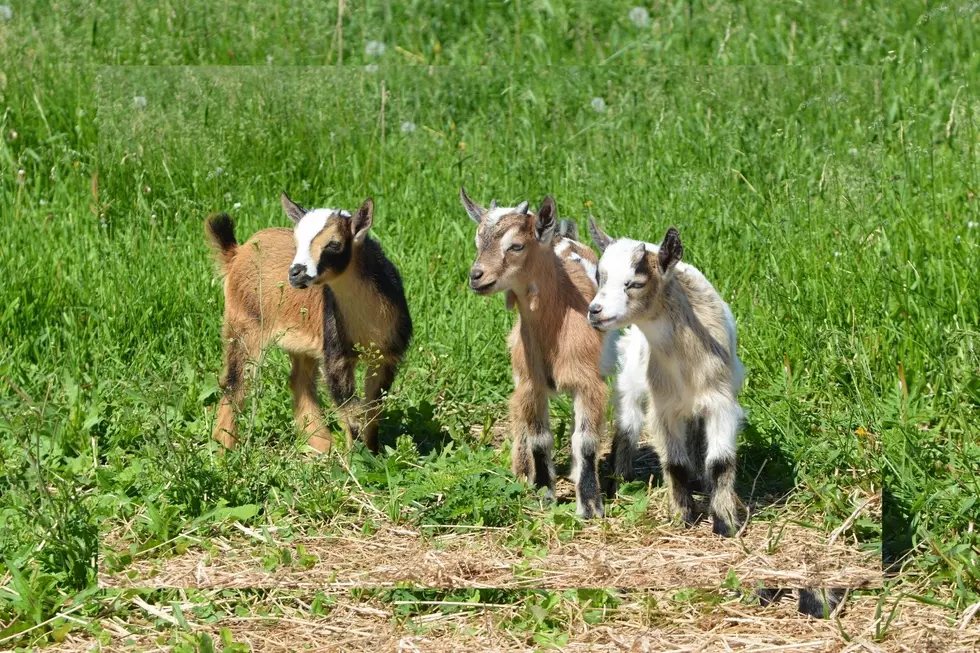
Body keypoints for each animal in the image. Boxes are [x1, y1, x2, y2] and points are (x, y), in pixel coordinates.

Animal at [204, 192, 412, 454]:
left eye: (334, 244)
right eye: (297, 242)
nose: (295, 273)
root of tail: (237, 252)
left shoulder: (386, 357)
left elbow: (373, 410)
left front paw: (373, 454)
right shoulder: (336, 357)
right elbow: (351, 411)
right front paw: (356, 459)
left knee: (299, 381)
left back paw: (320, 444)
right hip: (244, 322)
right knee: (236, 381)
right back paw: (224, 448)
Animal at [459, 188, 616, 518]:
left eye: (516, 245)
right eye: (478, 242)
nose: (476, 276)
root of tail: (564, 235)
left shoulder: (590, 384)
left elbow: (585, 441)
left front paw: (590, 505)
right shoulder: (532, 385)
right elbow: (540, 439)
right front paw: (543, 493)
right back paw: (521, 473)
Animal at [587, 218, 743, 536]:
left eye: (635, 283)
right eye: (601, 278)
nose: (595, 311)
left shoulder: (721, 402)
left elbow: (720, 462)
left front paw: (725, 522)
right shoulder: (663, 407)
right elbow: (674, 463)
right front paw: (682, 515)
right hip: (630, 383)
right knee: (627, 426)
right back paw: (621, 480)